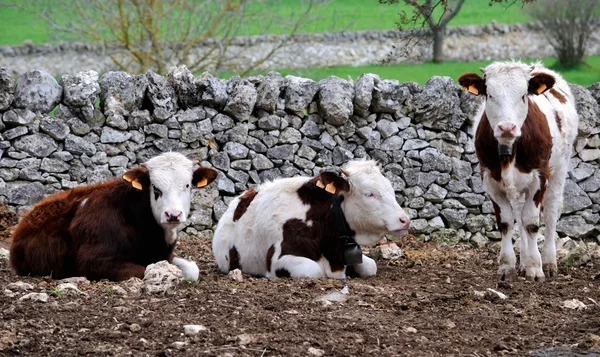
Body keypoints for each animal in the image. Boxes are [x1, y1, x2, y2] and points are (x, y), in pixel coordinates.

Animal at [9, 152, 218, 280]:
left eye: (187, 185)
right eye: (155, 188)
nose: (173, 215)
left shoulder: (164, 256)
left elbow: (192, 269)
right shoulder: (93, 261)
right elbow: (142, 270)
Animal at [212, 160, 412, 280]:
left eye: (391, 190)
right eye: (369, 194)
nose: (404, 220)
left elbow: (371, 266)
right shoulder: (277, 260)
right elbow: (313, 270)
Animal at [458, 59, 580, 280]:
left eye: (524, 95)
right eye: (489, 94)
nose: (507, 128)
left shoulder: (539, 177)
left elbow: (531, 222)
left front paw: (535, 267)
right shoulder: (490, 179)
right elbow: (506, 222)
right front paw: (507, 266)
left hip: (559, 170)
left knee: (550, 212)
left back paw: (548, 262)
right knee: (519, 211)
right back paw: (523, 261)